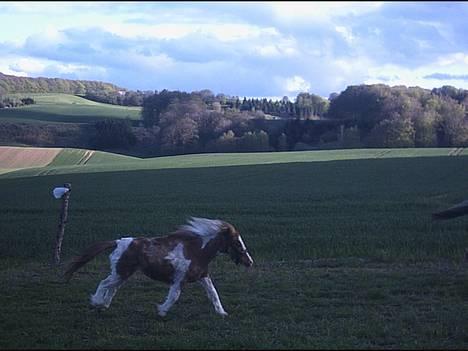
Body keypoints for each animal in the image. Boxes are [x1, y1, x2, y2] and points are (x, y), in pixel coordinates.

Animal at [64, 219, 254, 318]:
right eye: (237, 242)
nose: (249, 262)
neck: (197, 251)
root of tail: (118, 242)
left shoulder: (203, 276)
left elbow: (213, 294)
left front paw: (222, 313)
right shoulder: (179, 280)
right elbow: (174, 296)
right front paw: (162, 311)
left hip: (123, 273)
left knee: (112, 288)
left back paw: (104, 305)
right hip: (120, 272)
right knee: (104, 283)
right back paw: (97, 302)